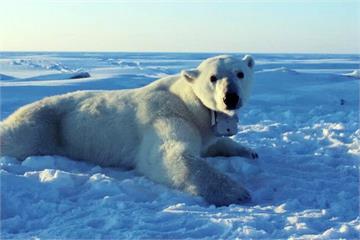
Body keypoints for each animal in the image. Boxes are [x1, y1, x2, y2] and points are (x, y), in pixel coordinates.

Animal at [0, 54, 258, 206]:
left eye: (240, 73)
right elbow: (167, 155)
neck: (187, 101)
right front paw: (237, 192)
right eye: (213, 77)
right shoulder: (166, 115)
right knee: (16, 137)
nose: (230, 98)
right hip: (44, 125)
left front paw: (249, 151)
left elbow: (212, 143)